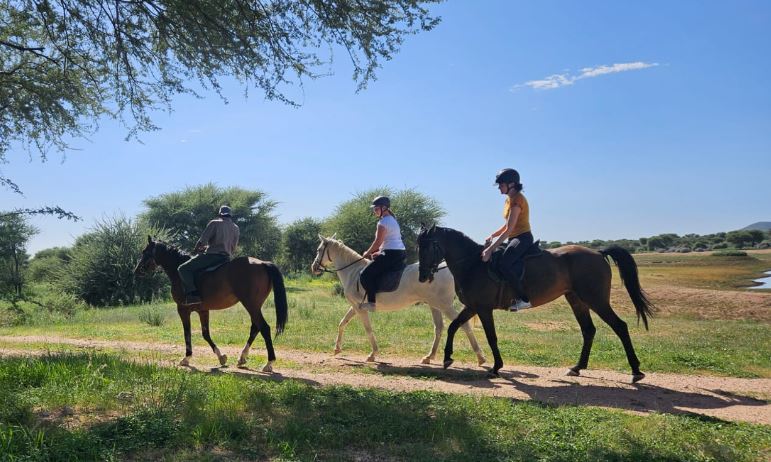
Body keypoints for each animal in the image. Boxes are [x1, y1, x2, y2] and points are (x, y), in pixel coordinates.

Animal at [134, 236, 288, 372]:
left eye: (145, 252)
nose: (137, 271)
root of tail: (263, 263)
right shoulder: (203, 310)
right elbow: (205, 334)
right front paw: (221, 357)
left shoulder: (183, 310)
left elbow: (187, 333)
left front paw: (186, 358)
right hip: (254, 306)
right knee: (255, 328)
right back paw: (242, 358)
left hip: (251, 305)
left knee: (264, 328)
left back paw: (269, 363)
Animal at [311, 235, 486, 365]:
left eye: (319, 250)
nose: (314, 267)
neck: (353, 271)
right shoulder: (355, 306)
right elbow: (342, 323)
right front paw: (337, 349)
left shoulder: (360, 308)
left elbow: (368, 329)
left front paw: (373, 354)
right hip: (434, 305)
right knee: (439, 328)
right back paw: (429, 357)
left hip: (445, 305)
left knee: (463, 325)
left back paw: (480, 357)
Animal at [417, 225, 654, 383]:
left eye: (427, 247)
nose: (422, 276)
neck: (474, 264)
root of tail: (597, 252)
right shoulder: (473, 307)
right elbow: (453, 326)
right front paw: (447, 358)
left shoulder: (483, 309)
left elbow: (491, 337)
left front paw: (496, 367)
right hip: (576, 300)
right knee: (588, 330)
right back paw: (577, 368)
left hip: (595, 299)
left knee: (620, 326)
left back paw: (636, 371)